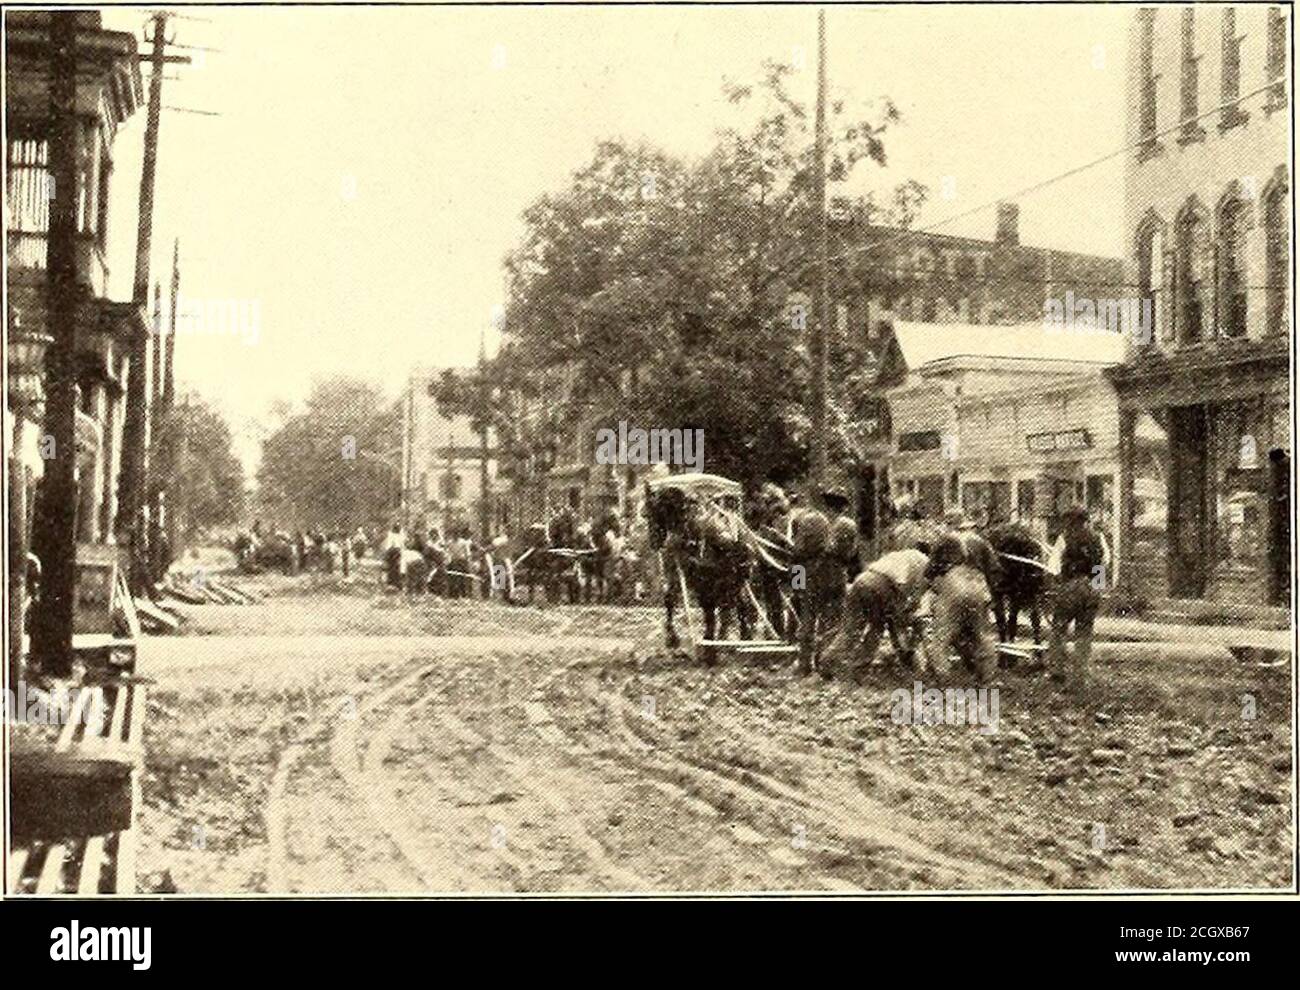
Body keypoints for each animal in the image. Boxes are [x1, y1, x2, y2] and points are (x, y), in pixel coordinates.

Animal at [647, 480, 759, 660]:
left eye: (651, 512)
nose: (654, 540)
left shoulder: (682, 573)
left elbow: (673, 600)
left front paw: (673, 639)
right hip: (736, 582)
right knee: (739, 606)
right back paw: (740, 640)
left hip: (721, 582)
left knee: (724, 609)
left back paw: (716, 645)